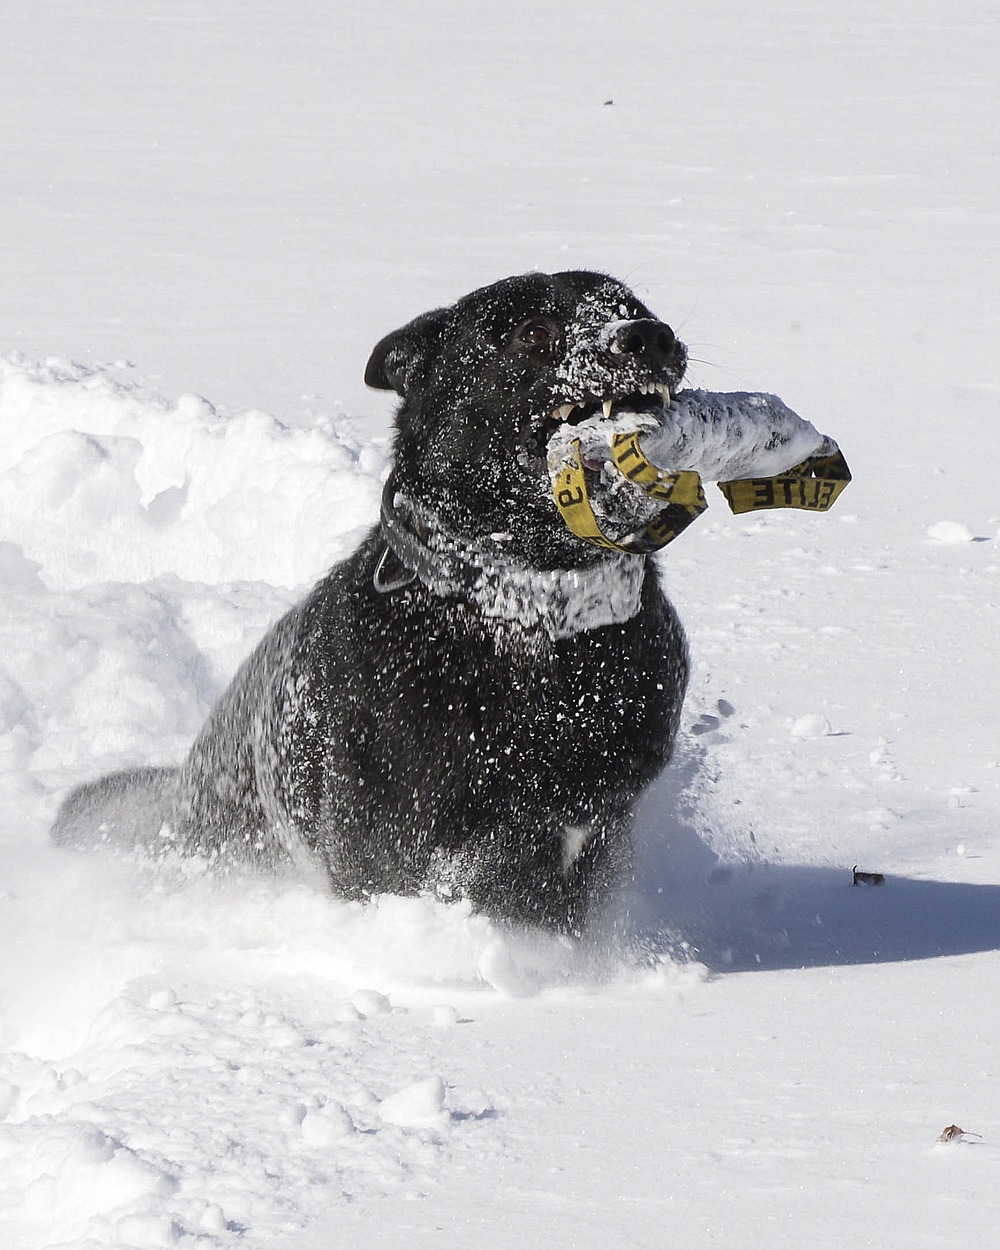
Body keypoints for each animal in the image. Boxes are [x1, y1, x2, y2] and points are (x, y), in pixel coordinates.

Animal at [54, 276, 690, 940]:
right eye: (533, 332)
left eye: (633, 308)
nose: (651, 337)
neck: (523, 606)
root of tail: (180, 787)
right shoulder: (389, 843)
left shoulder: (593, 829)